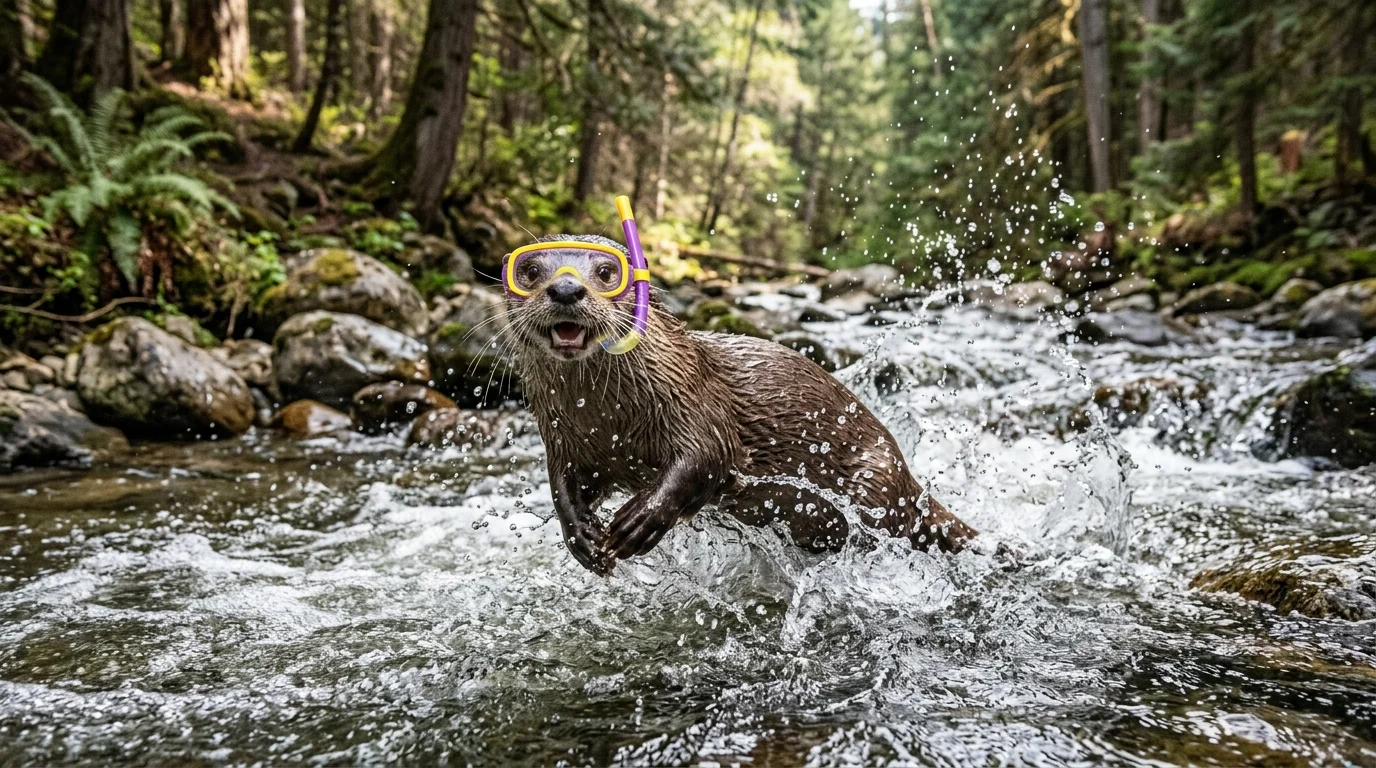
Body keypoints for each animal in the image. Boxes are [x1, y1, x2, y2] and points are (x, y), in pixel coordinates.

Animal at [502, 235, 977, 574]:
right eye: (529, 271)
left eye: (605, 271)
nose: (566, 287)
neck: (611, 422)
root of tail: (906, 475)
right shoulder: (562, 440)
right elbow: (562, 487)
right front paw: (580, 537)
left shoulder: (695, 402)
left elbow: (706, 457)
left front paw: (640, 519)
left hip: (872, 483)